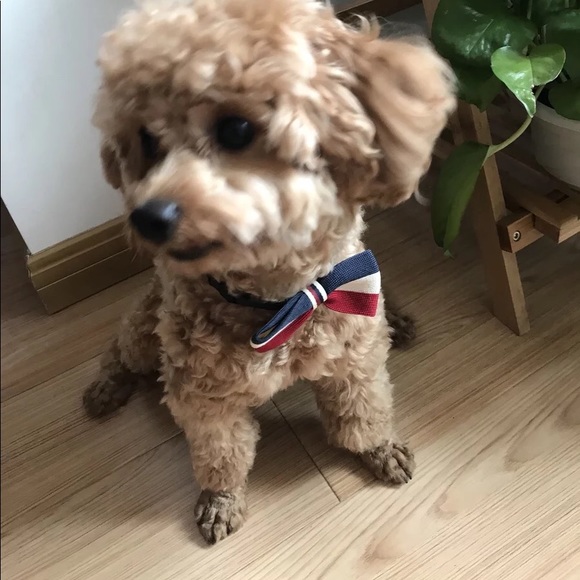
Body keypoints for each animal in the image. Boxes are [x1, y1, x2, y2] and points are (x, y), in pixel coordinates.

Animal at [84, 0, 456, 544]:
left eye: (236, 129)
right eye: (146, 141)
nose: (147, 218)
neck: (279, 300)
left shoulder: (355, 359)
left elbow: (363, 414)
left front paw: (379, 450)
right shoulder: (204, 400)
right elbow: (222, 455)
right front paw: (220, 501)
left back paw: (400, 322)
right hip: (147, 331)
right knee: (119, 348)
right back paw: (106, 388)